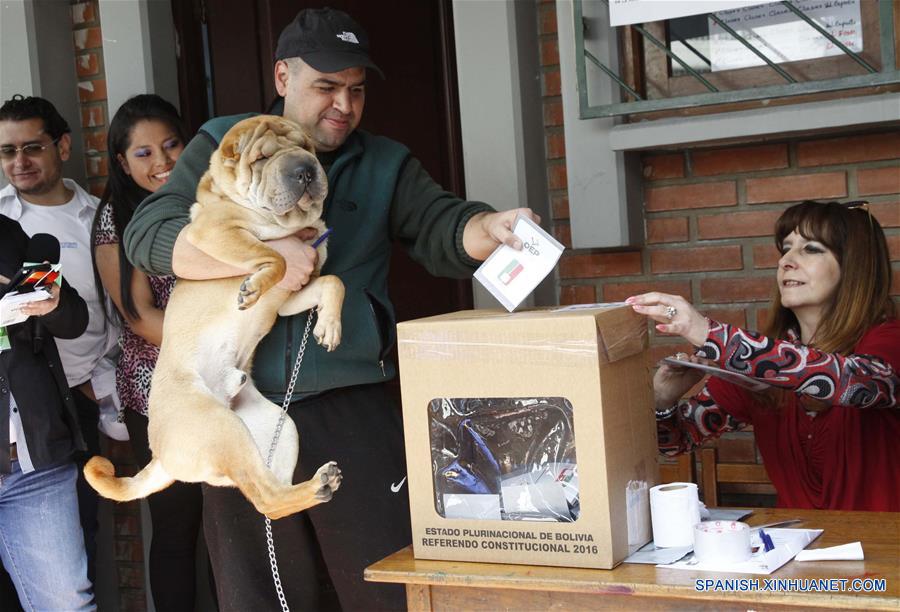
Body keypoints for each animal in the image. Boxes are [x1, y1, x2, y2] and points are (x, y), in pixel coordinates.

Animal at [86, 113, 344, 516]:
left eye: (306, 147)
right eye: (262, 158)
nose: (303, 168)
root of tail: (160, 456)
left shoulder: (292, 294)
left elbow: (332, 281)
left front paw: (329, 327)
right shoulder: (214, 232)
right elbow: (277, 256)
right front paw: (251, 288)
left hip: (279, 427)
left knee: (271, 498)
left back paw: (319, 485)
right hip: (219, 426)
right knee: (266, 497)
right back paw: (318, 486)